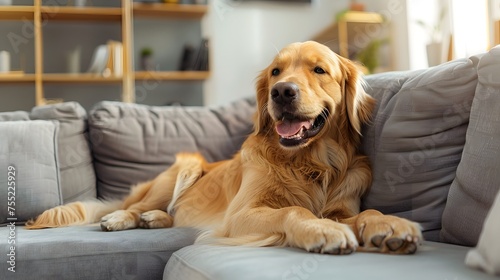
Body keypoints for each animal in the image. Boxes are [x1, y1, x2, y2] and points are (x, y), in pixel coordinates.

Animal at [26, 41, 422, 254]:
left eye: (319, 70)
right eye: (276, 72)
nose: (281, 92)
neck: (311, 163)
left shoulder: (343, 206)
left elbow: (366, 213)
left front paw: (390, 225)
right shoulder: (241, 214)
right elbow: (294, 210)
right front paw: (322, 230)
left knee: (166, 213)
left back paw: (154, 220)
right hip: (182, 169)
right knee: (133, 206)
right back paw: (122, 218)